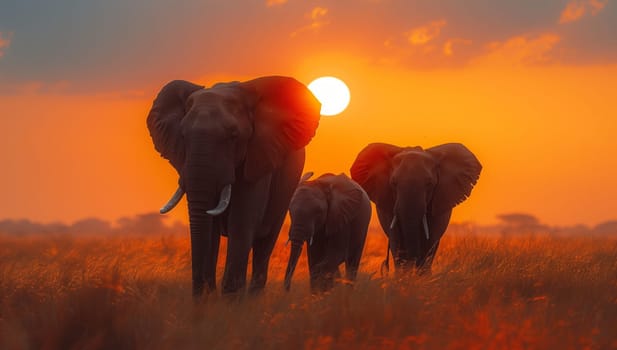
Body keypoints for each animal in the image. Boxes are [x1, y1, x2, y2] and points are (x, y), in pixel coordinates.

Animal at [146, 76, 320, 296]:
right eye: (183, 136)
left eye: (233, 135)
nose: (198, 295)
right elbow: (209, 228)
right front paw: (209, 297)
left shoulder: (258, 159)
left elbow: (241, 223)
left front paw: (230, 299)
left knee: (265, 242)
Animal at [348, 142, 478, 274]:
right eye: (393, 183)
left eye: (429, 183)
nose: (413, 263)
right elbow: (396, 239)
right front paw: (404, 276)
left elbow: (430, 240)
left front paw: (421, 276)